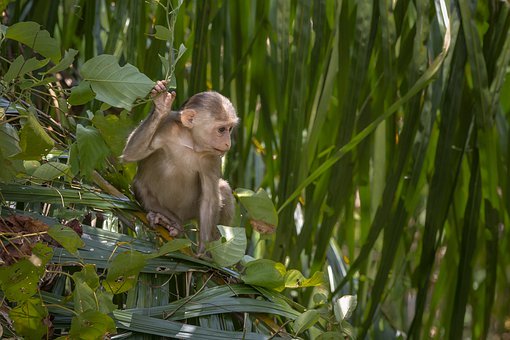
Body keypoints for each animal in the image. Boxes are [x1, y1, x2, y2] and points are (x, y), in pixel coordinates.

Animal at [121, 80, 239, 255]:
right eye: (221, 129)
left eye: (229, 129)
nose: (228, 143)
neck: (190, 142)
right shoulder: (167, 126)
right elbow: (131, 153)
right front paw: (161, 105)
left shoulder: (211, 158)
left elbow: (209, 198)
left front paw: (203, 252)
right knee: (140, 185)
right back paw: (168, 221)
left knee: (222, 188)